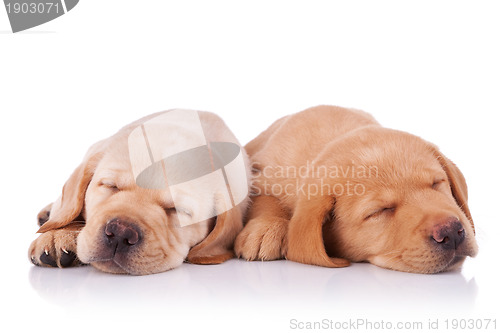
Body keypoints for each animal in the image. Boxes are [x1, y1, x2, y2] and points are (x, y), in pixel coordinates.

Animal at [236, 105, 478, 272]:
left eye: (436, 184)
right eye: (379, 211)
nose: (450, 232)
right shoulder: (261, 175)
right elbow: (263, 199)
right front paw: (265, 229)